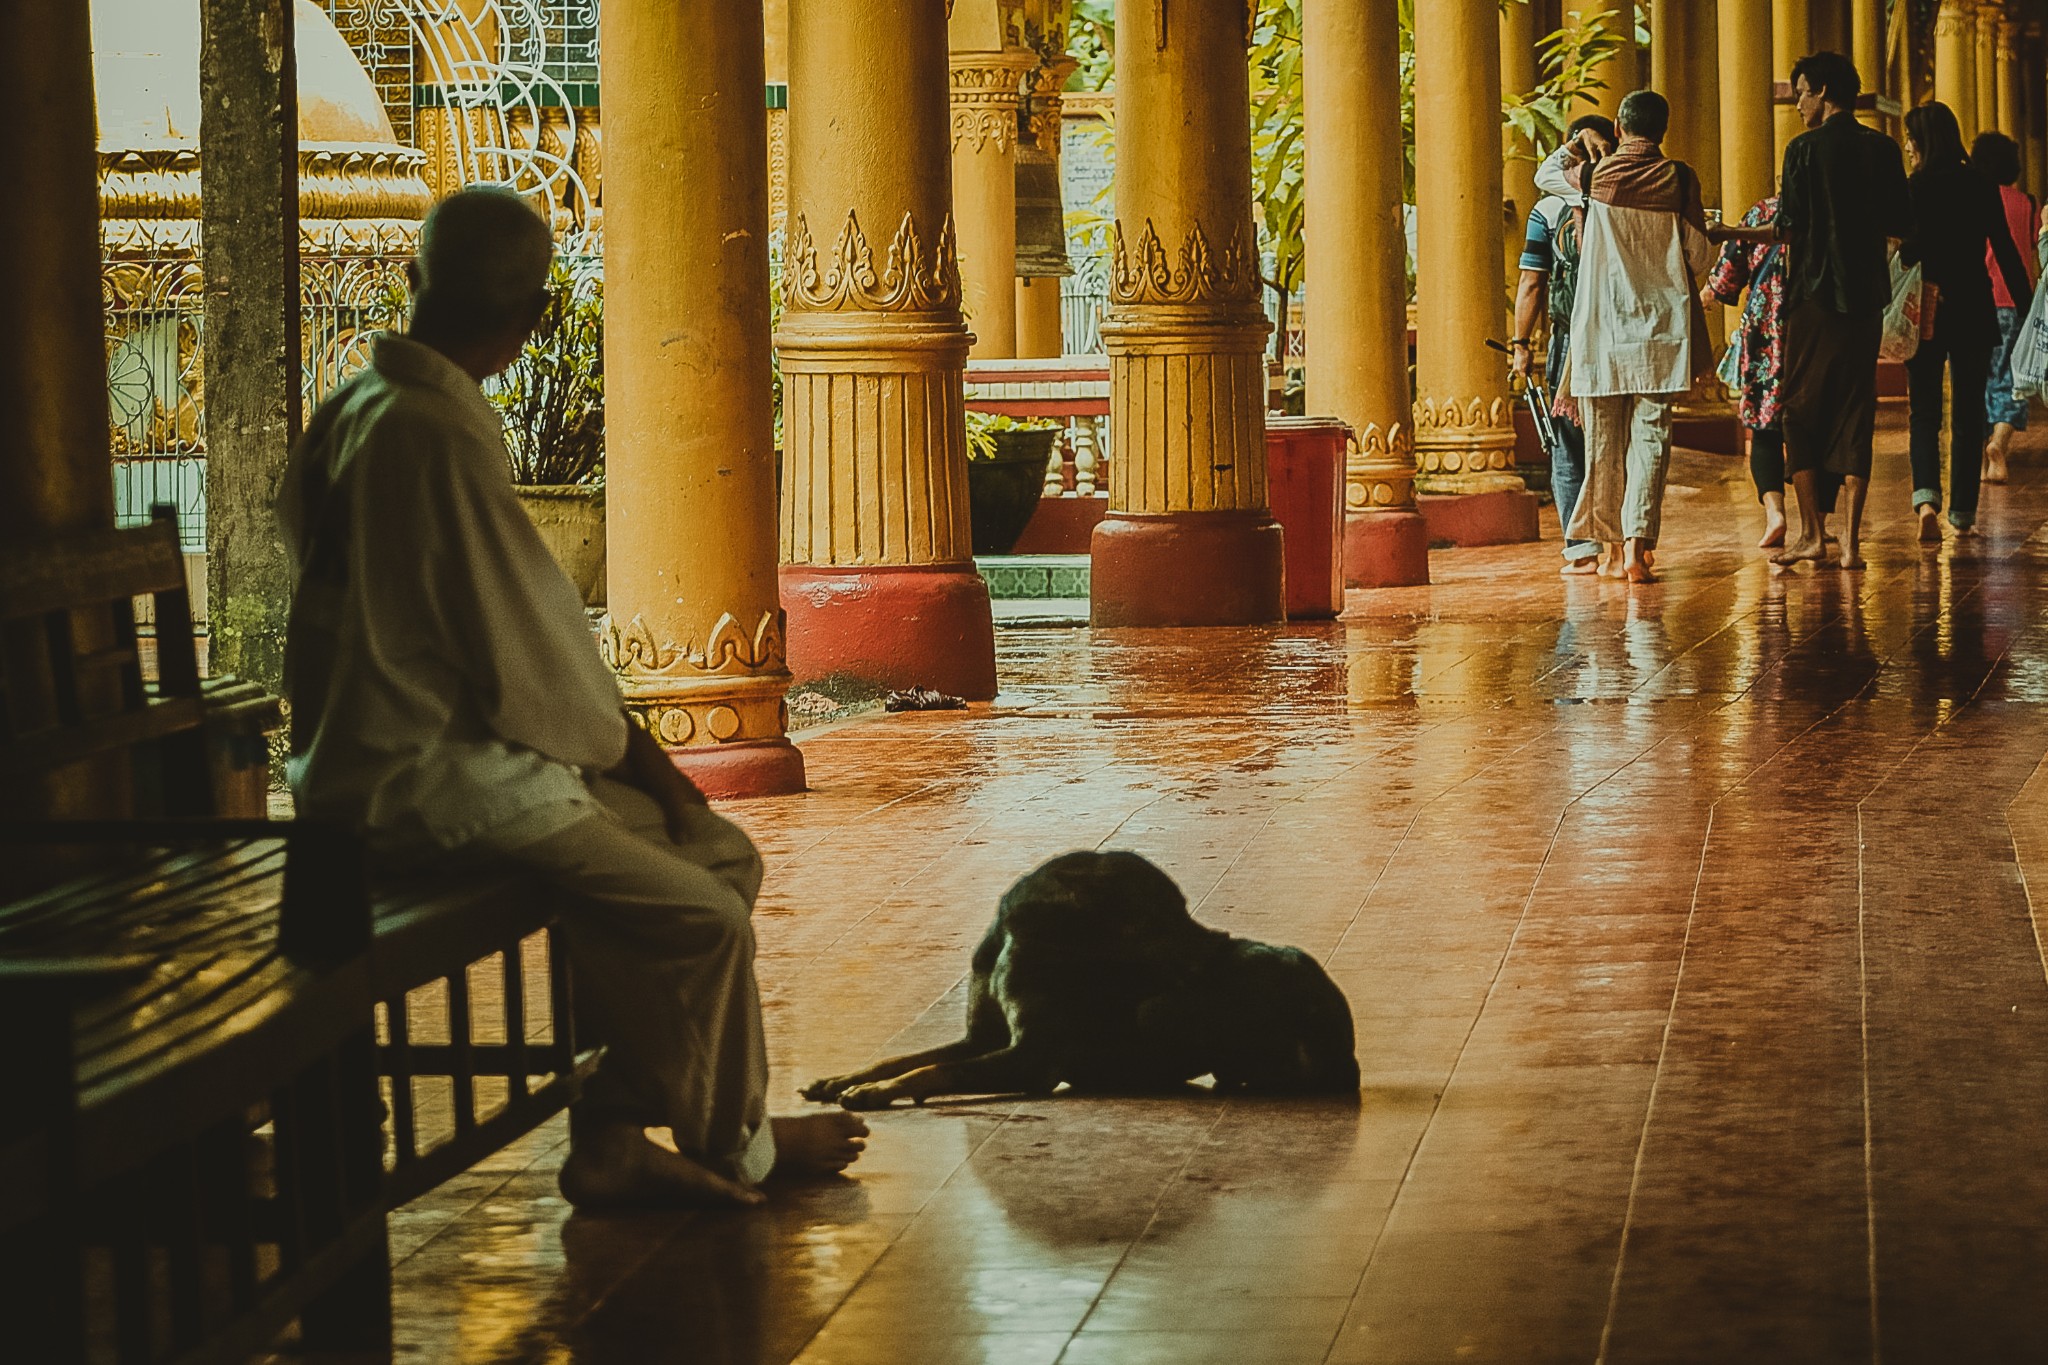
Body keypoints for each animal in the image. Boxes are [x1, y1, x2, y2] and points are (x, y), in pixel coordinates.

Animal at [798, 855, 1359, 1113]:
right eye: (1165, 916)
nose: (1219, 951)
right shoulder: (981, 1038)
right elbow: (906, 1058)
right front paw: (845, 1079)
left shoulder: (1032, 1059)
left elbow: (933, 1070)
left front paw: (877, 1091)